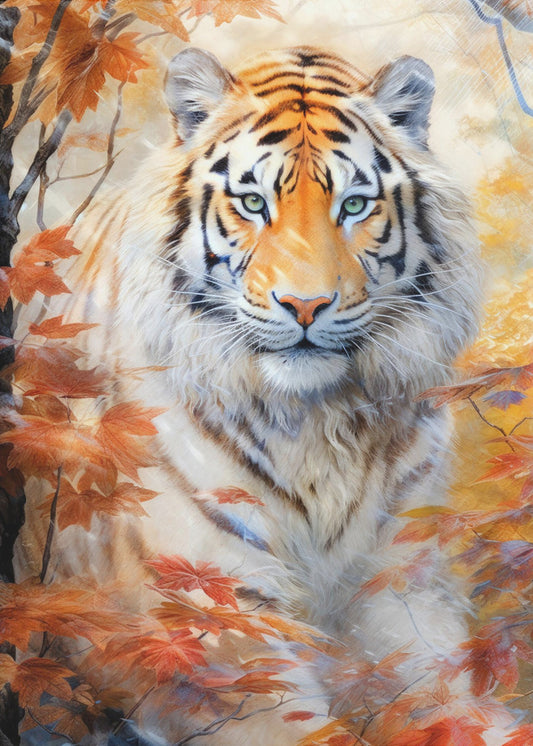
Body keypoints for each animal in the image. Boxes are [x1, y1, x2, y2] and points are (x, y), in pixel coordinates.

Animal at [14, 46, 511, 744]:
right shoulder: (207, 622)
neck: (322, 423)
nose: (305, 305)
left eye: (354, 206)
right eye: (252, 202)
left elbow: (453, 704)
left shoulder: (402, 588)